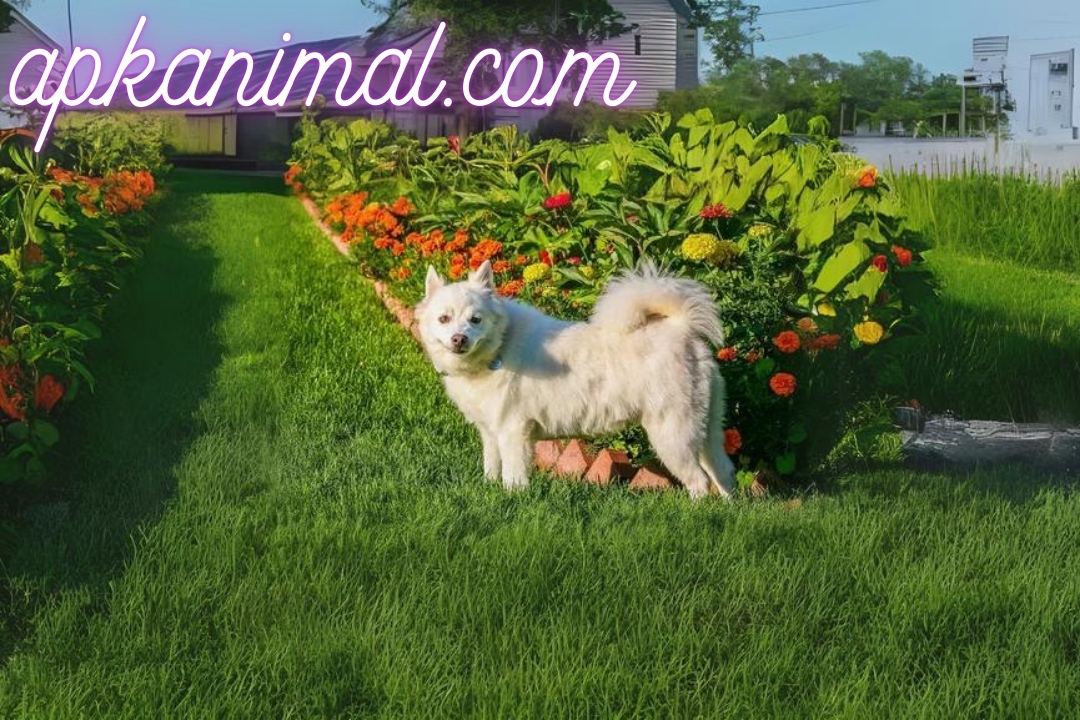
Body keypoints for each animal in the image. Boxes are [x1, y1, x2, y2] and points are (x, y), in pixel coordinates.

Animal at [412, 259, 734, 500]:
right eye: (444, 319)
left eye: (475, 320)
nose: (459, 339)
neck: (501, 344)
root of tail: (681, 328)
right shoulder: (490, 433)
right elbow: (491, 469)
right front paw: (491, 492)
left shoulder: (513, 432)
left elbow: (513, 476)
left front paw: (513, 499)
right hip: (706, 431)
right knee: (724, 472)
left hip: (672, 433)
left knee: (699, 481)